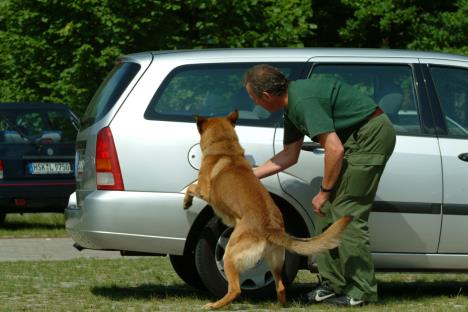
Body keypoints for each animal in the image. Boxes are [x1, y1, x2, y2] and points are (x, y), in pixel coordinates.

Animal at [184, 111, 352, 308]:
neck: (226, 151)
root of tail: (271, 228)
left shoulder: (203, 190)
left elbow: (191, 188)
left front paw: (186, 202)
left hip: (229, 255)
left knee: (235, 289)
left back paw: (215, 305)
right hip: (275, 262)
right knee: (281, 287)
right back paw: (280, 305)